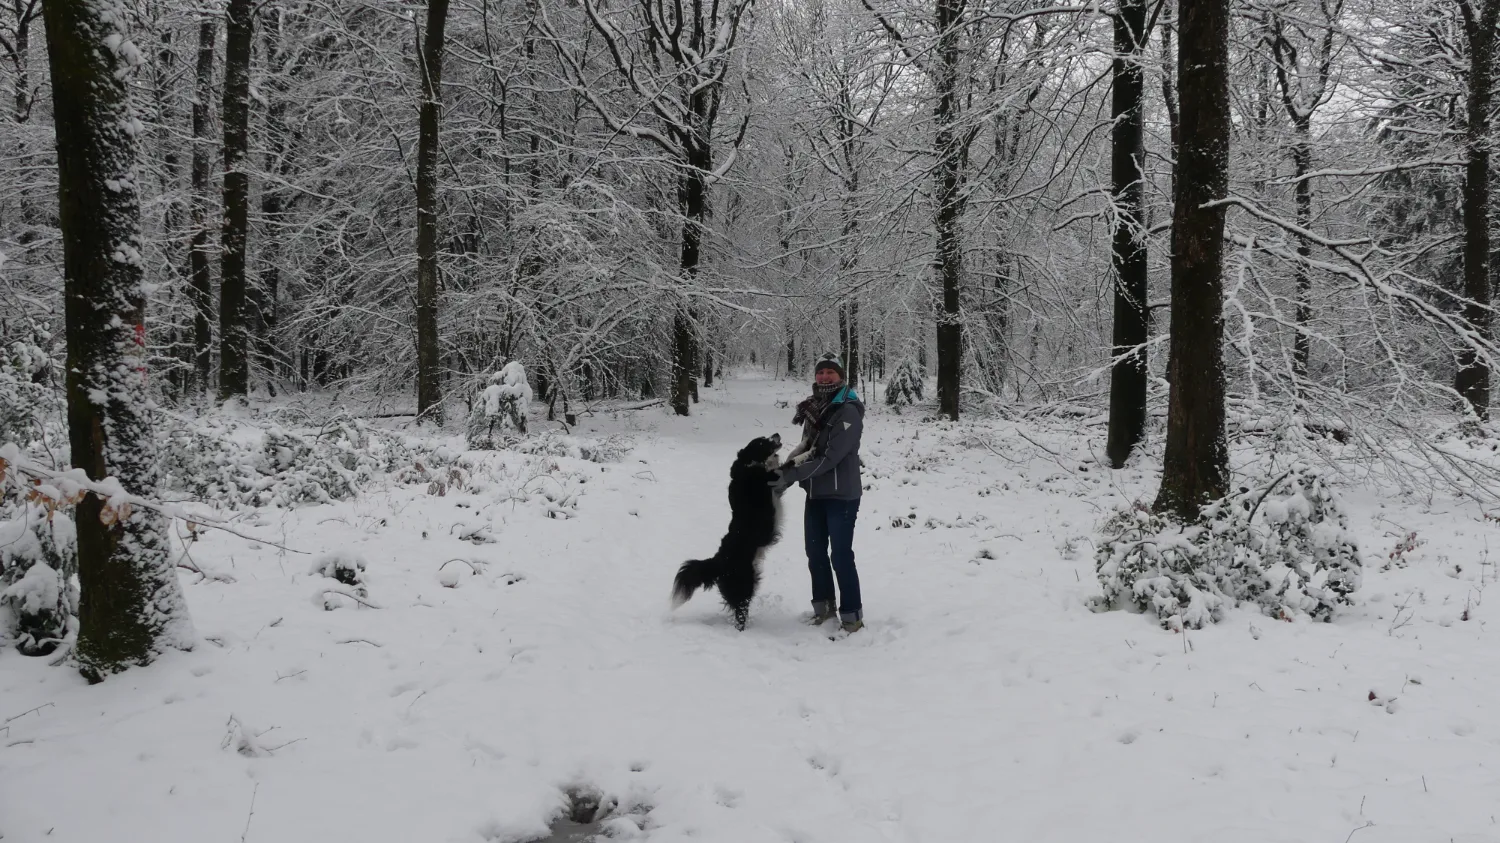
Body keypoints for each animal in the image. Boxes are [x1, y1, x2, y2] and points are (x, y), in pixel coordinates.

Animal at [669, 432, 786, 624]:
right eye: (762, 442)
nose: (776, 434)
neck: (748, 463)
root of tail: (718, 561)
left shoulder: (777, 488)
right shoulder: (770, 479)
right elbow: (791, 462)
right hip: (744, 585)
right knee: (740, 613)